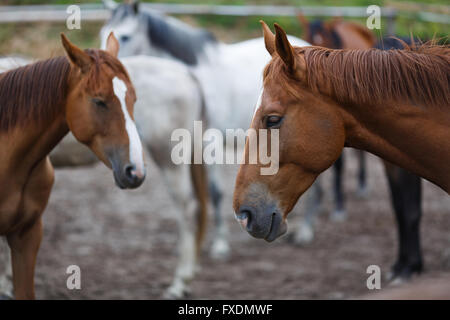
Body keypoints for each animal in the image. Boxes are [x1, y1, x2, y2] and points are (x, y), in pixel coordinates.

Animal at [99, 0, 310, 260]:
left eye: (126, 36)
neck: (195, 76)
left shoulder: (211, 140)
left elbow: (215, 192)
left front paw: (220, 245)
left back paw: (306, 232)